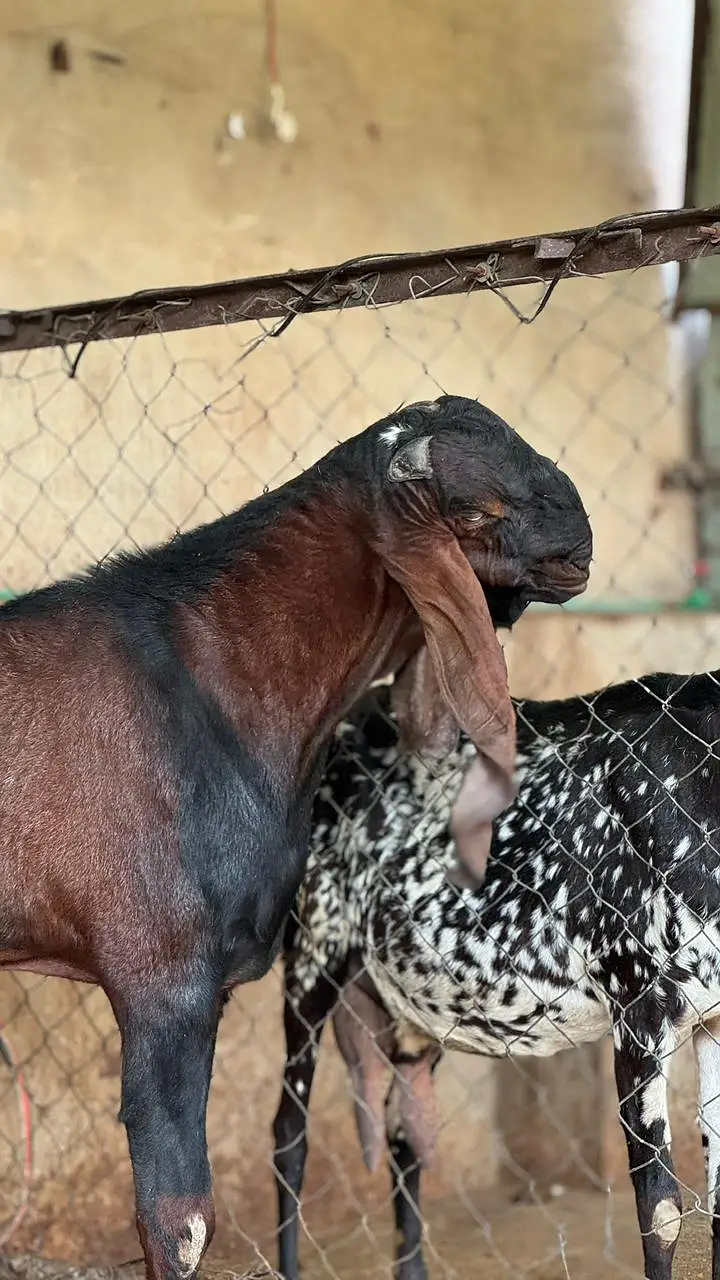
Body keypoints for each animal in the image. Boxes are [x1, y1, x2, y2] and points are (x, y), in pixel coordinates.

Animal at [273, 658, 720, 1280]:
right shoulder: (638, 1005)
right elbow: (660, 1209)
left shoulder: (713, 1017)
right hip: (314, 949)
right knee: (290, 1132)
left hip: (418, 1006)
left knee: (405, 1126)